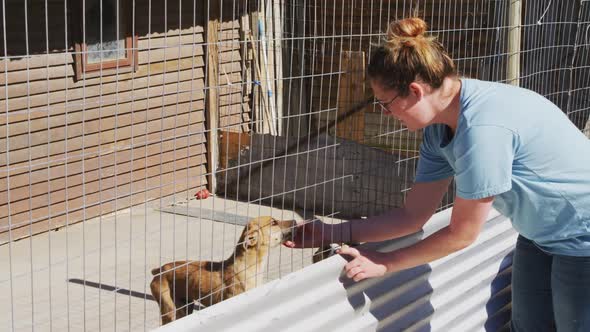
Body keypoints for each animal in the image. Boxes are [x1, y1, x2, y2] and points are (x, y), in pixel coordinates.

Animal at [149, 217, 294, 326]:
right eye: (274, 222)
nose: (295, 221)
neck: (247, 267)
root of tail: (160, 270)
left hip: (185, 306)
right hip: (169, 310)